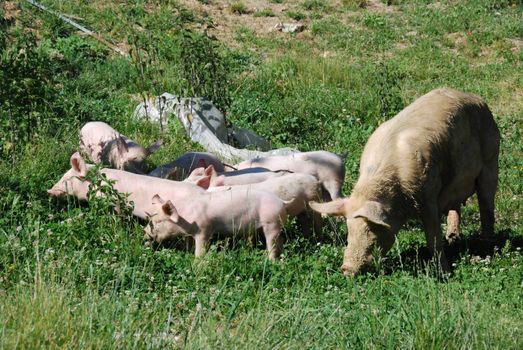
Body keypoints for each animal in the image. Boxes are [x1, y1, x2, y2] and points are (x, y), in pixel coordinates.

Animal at [143, 190, 290, 262]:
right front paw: (187, 253)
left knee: (271, 243)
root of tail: (281, 201)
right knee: (280, 240)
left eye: (158, 221)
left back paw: (270, 261)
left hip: (271, 223)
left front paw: (197, 264)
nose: (144, 236)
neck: (186, 217)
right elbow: (188, 244)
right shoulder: (189, 234)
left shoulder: (204, 229)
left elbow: (200, 249)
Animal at [310, 87, 502, 276]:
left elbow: (433, 238)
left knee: (487, 205)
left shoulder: (428, 195)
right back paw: (453, 239)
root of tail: (476, 98)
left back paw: (486, 248)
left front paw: (444, 274)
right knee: (455, 208)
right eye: (349, 231)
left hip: (491, 159)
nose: (347, 269)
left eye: (372, 229)